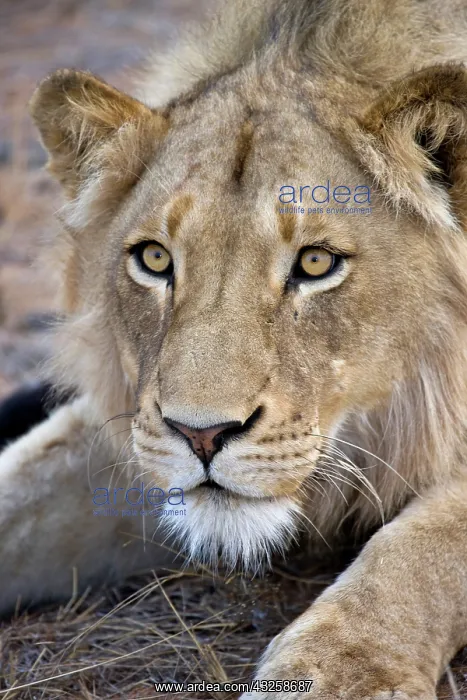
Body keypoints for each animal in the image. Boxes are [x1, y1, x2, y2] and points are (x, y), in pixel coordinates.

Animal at [1, 0, 467, 697]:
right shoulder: (133, 426)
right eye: (155, 259)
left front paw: (341, 670)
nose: (201, 435)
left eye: (316, 262)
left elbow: (428, 544)